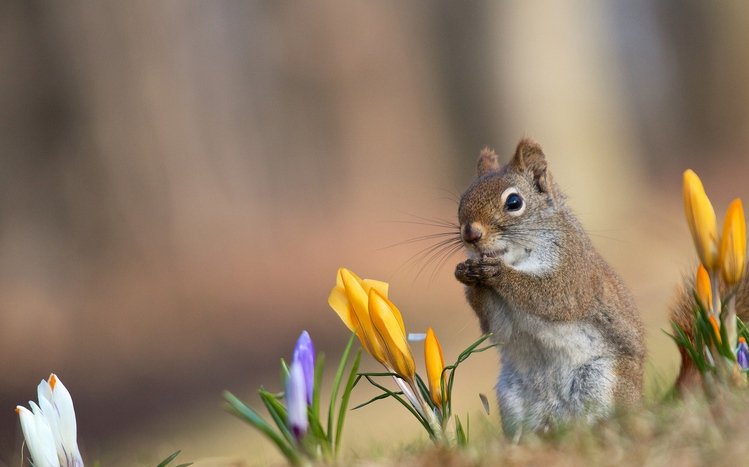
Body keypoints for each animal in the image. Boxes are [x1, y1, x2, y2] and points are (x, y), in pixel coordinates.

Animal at [453, 138, 645, 438]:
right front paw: (466, 273)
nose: (470, 234)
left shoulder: (573, 273)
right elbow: (495, 323)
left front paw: (498, 273)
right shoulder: (500, 319)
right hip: (512, 398)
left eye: (514, 202)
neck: (517, 257)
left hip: (603, 382)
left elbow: (550, 297)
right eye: (462, 201)